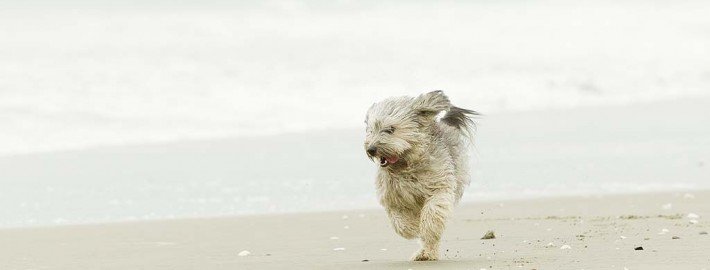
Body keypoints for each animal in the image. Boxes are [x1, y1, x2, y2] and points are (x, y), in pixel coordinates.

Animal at [364, 91, 476, 262]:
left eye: (390, 129)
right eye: (370, 130)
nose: (371, 149)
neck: (406, 165)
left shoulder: (439, 187)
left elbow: (432, 214)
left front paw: (425, 227)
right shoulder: (392, 197)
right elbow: (398, 221)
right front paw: (412, 228)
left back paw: (428, 252)